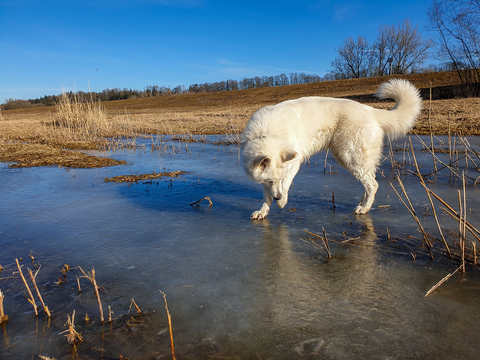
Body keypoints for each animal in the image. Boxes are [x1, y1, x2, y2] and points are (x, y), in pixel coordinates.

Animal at [240, 79, 420, 219]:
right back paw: (362, 204)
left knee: (373, 185)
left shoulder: (294, 163)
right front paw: (263, 211)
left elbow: (285, 184)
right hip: (351, 158)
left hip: (351, 157)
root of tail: (370, 111)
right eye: (270, 181)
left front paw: (282, 201)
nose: (277, 198)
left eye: (280, 178)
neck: (266, 133)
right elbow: (266, 195)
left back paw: (364, 208)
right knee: (370, 183)